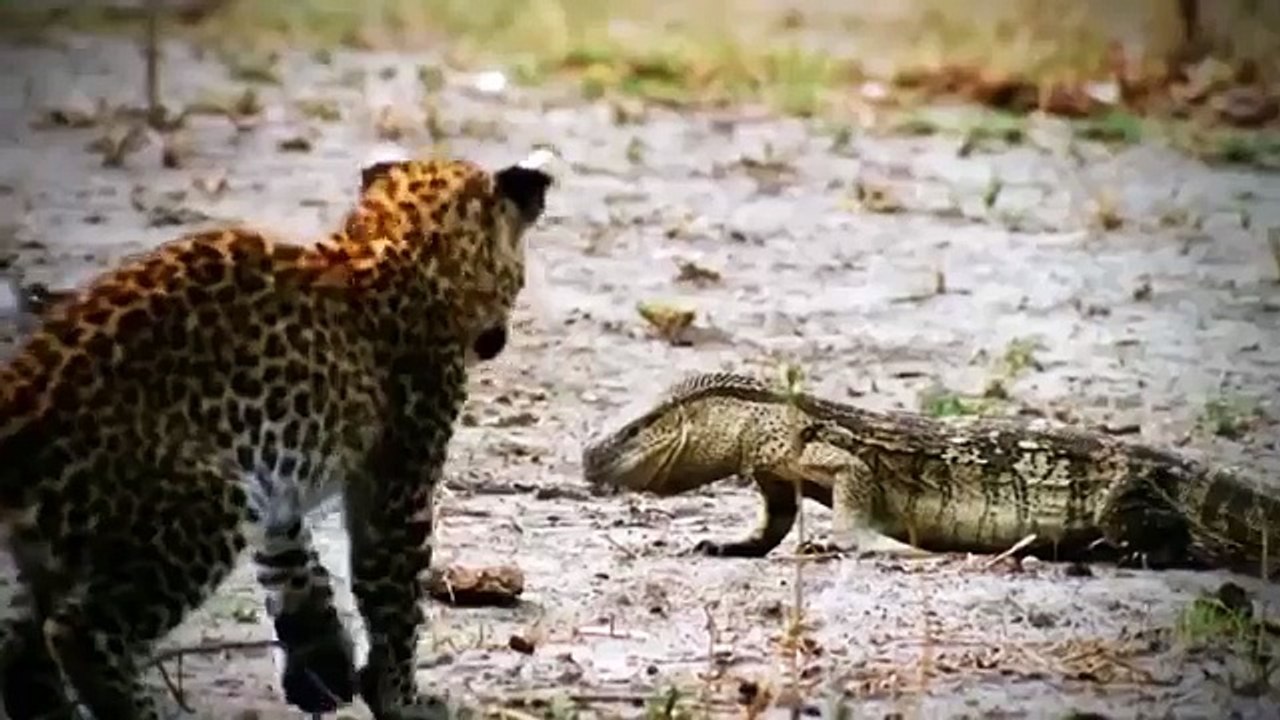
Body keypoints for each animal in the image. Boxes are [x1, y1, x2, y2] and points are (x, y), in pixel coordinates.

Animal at [0, 149, 556, 720]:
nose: (497, 339)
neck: (398, 249)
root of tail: (16, 401)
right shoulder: (398, 483)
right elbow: (394, 595)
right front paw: (399, 697)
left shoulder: (275, 472)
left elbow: (293, 561)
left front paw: (324, 667)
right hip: (203, 507)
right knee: (78, 631)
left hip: (55, 546)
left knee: (20, 640)